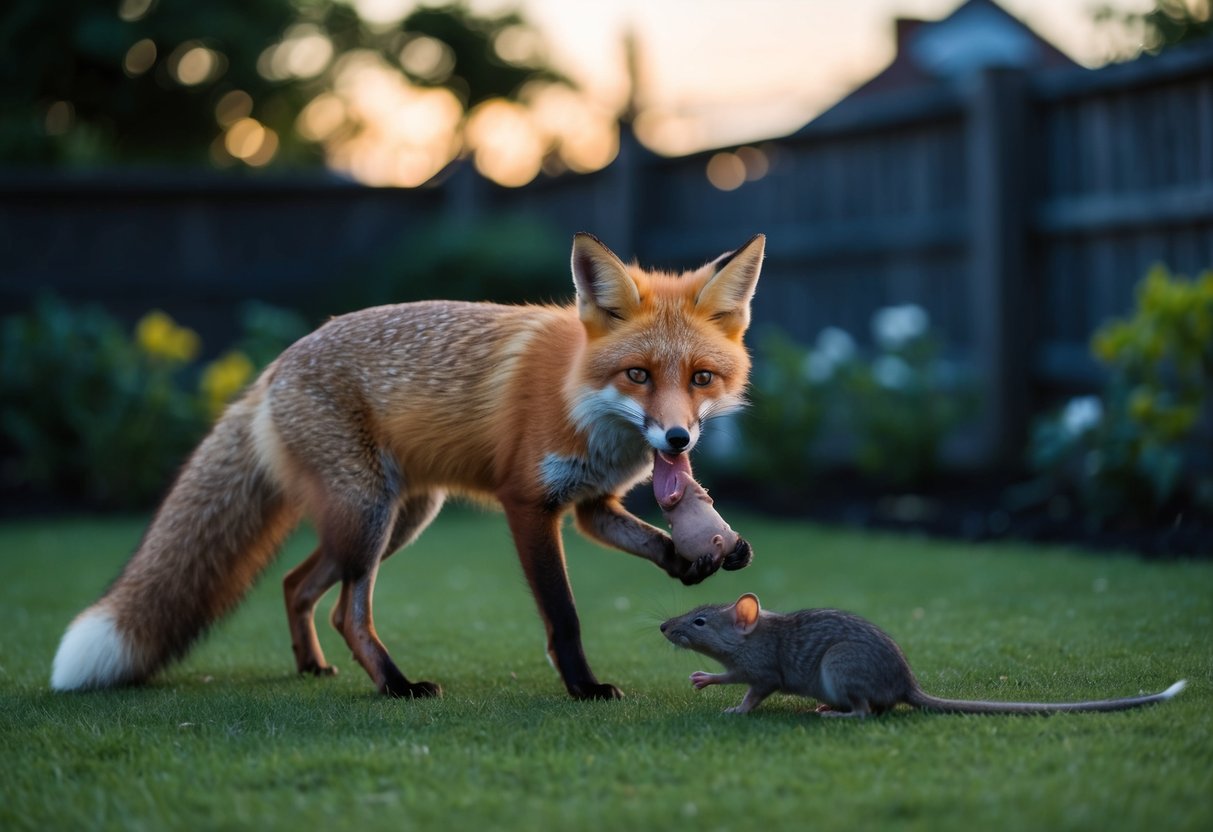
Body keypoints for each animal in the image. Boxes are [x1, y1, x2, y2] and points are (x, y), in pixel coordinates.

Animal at [50, 232, 764, 700]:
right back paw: (396, 685)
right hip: (370, 515)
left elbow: (649, 538)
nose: (677, 440)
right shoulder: (529, 503)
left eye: (701, 378)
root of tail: (275, 365)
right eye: (638, 375)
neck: (579, 396)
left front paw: (694, 558)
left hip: (392, 519)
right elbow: (564, 615)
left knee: (297, 584)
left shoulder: (592, 503)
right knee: (347, 611)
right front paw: (583, 687)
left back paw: (312, 667)